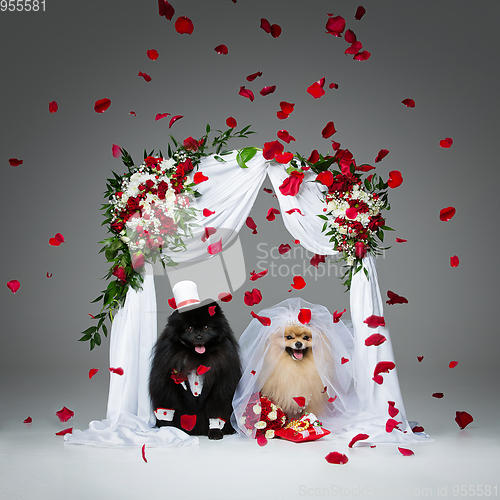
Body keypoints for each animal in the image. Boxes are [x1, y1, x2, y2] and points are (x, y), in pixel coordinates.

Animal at [149, 300, 241, 438]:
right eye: (189, 328)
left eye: (206, 328)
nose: (198, 337)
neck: (197, 358)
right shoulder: (166, 385)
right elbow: (167, 409)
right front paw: (168, 430)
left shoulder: (221, 388)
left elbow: (216, 412)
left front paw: (215, 431)